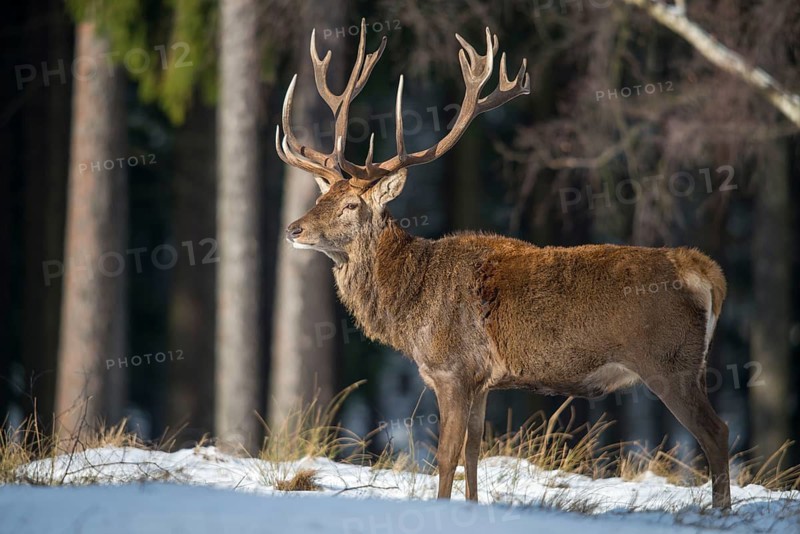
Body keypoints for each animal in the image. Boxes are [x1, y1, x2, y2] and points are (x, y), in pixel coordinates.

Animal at [276, 19, 731, 510]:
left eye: (351, 205)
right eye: (323, 195)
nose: (293, 229)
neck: (410, 307)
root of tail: (704, 271)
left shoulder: (451, 369)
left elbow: (445, 457)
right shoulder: (481, 380)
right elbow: (473, 455)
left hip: (670, 362)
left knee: (717, 433)